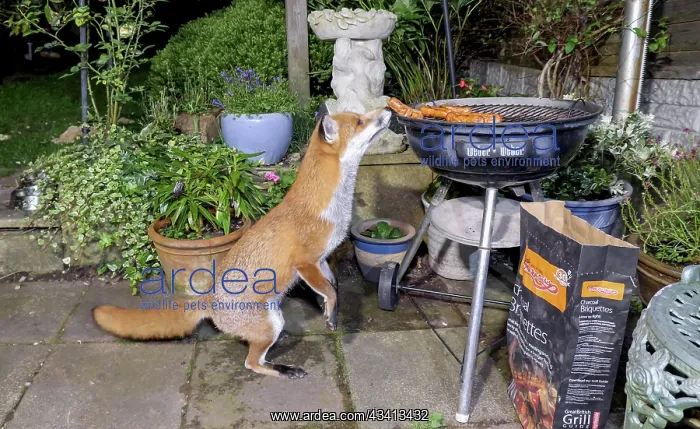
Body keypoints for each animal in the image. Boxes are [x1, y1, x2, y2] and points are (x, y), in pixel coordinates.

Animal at [93, 107, 393, 379]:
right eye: (360, 121)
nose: (388, 109)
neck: (327, 208)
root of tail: (209, 299)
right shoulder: (305, 262)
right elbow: (328, 291)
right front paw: (330, 314)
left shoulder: (321, 260)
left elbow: (333, 286)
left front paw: (332, 312)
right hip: (271, 321)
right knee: (252, 363)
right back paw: (284, 369)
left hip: (273, 317)